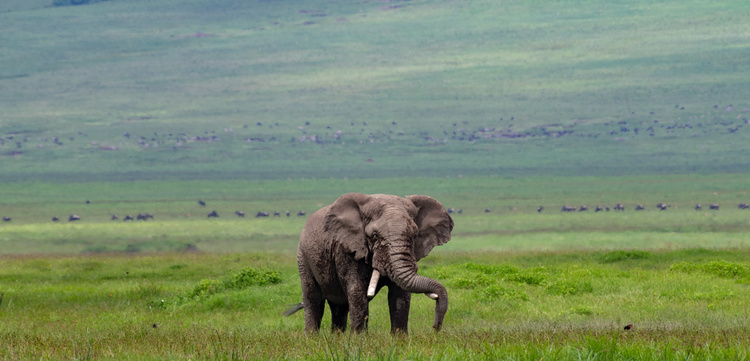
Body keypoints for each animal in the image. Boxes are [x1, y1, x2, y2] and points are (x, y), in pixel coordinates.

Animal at [296, 193, 456, 334]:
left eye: (414, 235)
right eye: (374, 236)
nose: (435, 327)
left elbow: (400, 296)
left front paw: (400, 341)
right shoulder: (347, 250)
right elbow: (357, 292)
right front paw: (359, 341)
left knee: (339, 307)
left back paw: (337, 339)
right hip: (303, 257)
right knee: (313, 300)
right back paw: (312, 338)